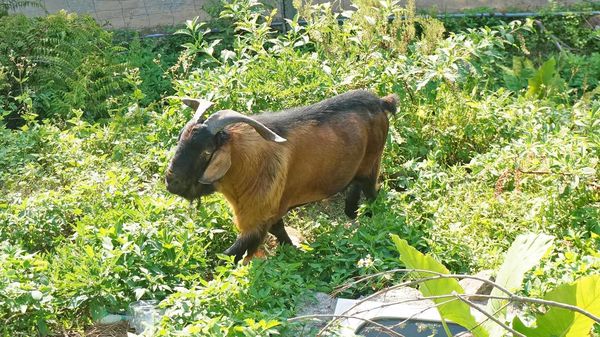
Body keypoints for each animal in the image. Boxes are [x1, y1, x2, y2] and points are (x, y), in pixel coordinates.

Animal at [165, 90, 398, 262]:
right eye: (180, 139)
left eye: (206, 152)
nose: (171, 181)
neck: (246, 161)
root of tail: (380, 101)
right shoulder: (273, 211)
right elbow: (279, 231)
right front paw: (294, 250)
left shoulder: (257, 219)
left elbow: (234, 255)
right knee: (356, 186)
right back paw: (352, 212)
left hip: (372, 162)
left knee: (372, 193)